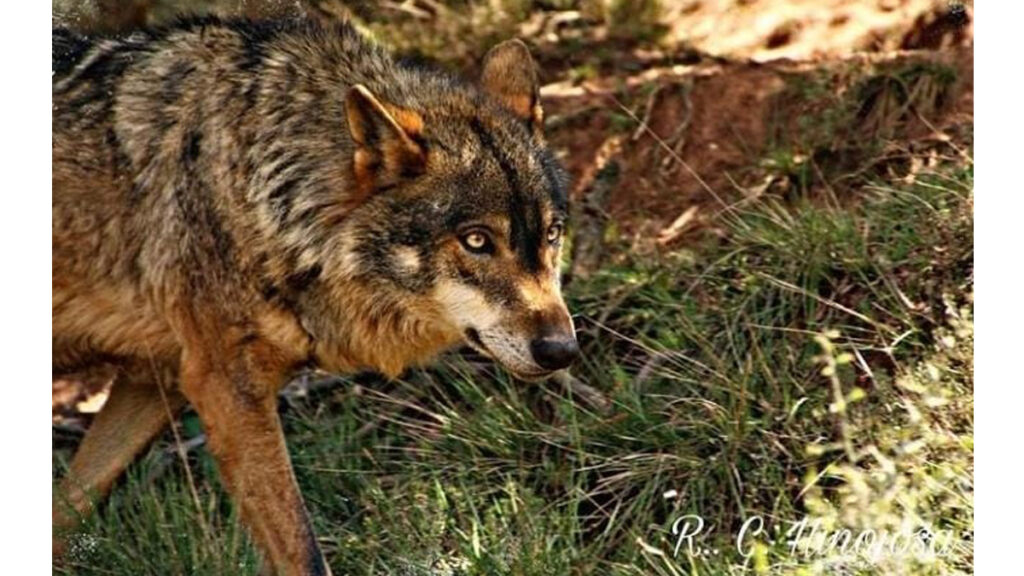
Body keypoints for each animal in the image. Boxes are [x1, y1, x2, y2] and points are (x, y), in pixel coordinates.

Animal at [53, 16, 578, 575]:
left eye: (551, 234)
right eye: (477, 240)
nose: (561, 351)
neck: (264, 190)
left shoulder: (157, 381)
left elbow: (63, 513)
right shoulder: (227, 388)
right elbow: (302, 552)